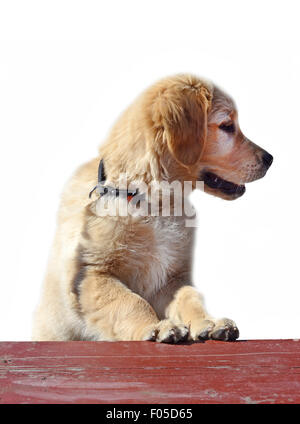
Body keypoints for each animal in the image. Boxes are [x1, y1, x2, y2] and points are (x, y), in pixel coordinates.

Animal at [32, 74, 272, 342]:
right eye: (227, 126)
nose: (270, 159)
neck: (150, 202)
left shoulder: (171, 278)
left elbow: (189, 296)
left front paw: (208, 322)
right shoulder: (93, 274)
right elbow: (129, 301)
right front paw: (156, 327)